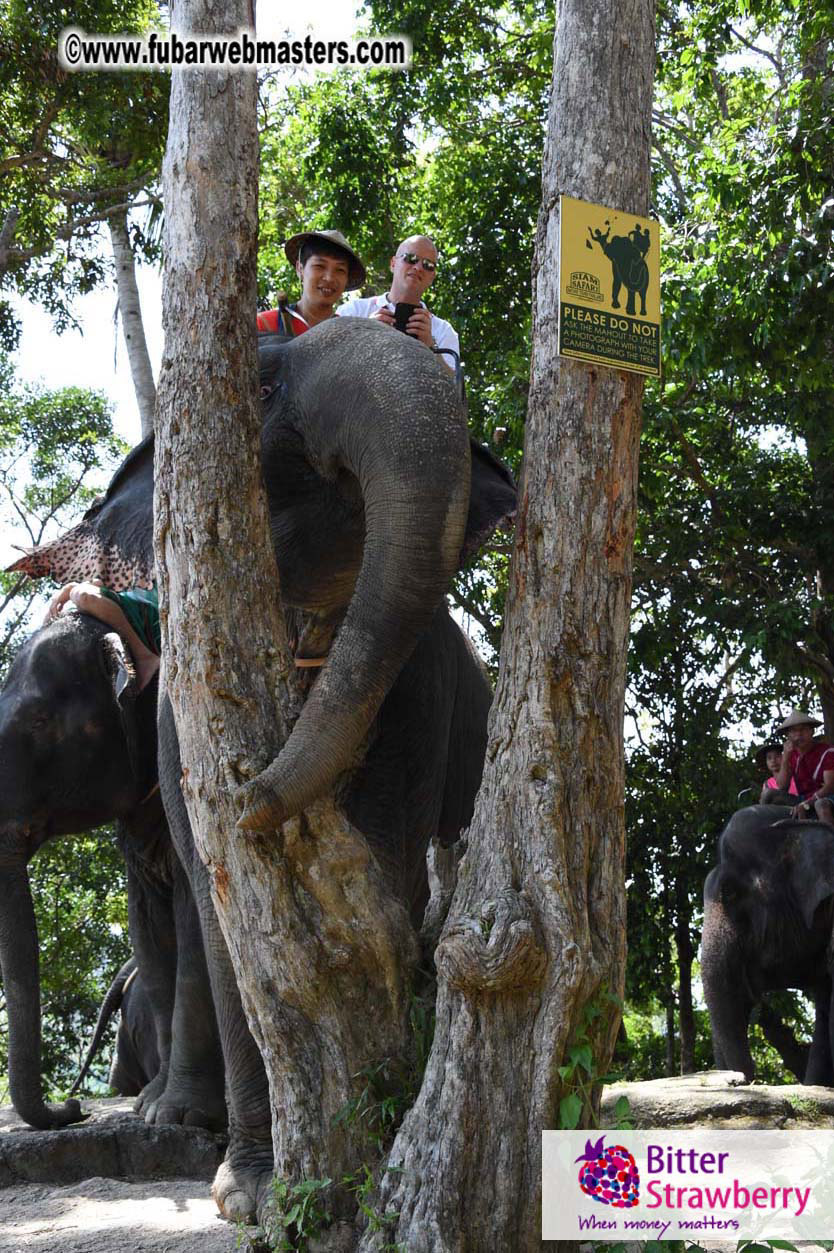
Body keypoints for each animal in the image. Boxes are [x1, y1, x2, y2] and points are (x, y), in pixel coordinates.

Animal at [4, 318, 517, 1220]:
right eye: (264, 390)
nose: (249, 788)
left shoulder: (422, 690)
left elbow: (385, 860)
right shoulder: (175, 716)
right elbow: (214, 889)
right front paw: (245, 1187)